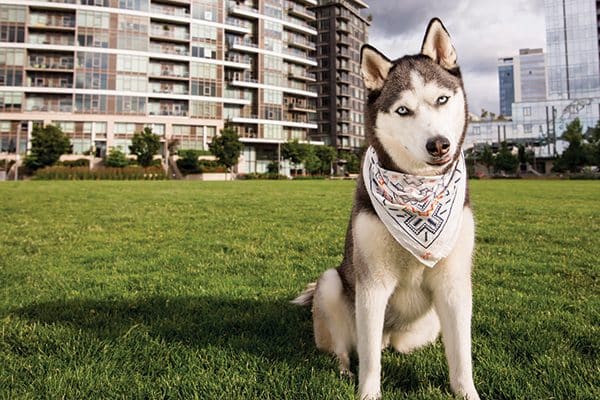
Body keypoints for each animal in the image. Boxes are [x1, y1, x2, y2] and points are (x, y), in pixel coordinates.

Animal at [292, 18, 480, 400]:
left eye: (442, 99)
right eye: (403, 110)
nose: (439, 144)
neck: (418, 192)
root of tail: (391, 337)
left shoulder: (454, 283)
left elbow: (461, 356)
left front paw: (467, 391)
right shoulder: (372, 284)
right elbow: (369, 361)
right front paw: (367, 392)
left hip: (426, 327)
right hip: (331, 283)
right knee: (350, 348)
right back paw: (343, 369)